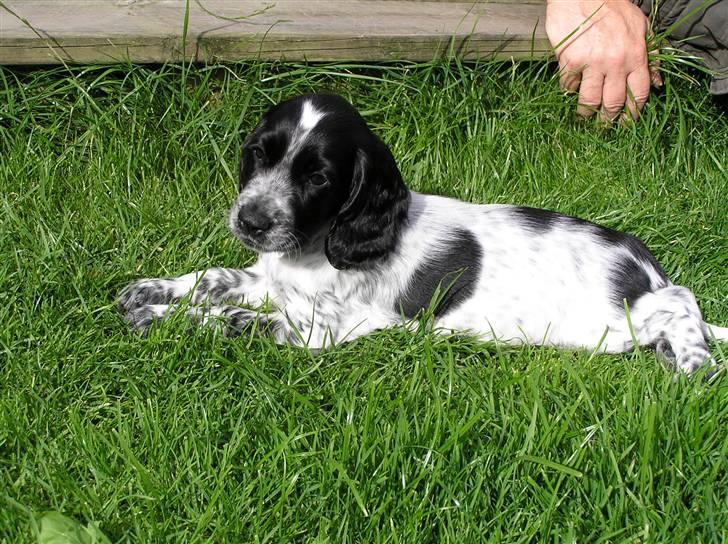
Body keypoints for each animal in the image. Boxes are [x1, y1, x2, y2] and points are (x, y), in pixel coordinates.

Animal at [116, 93, 724, 374]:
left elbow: (229, 319)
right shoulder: (273, 282)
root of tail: (641, 263)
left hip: (610, 319)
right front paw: (148, 292)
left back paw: (692, 361)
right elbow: (214, 277)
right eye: (257, 155)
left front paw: (161, 317)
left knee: (683, 302)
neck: (312, 249)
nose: (252, 221)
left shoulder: (317, 331)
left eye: (318, 178)